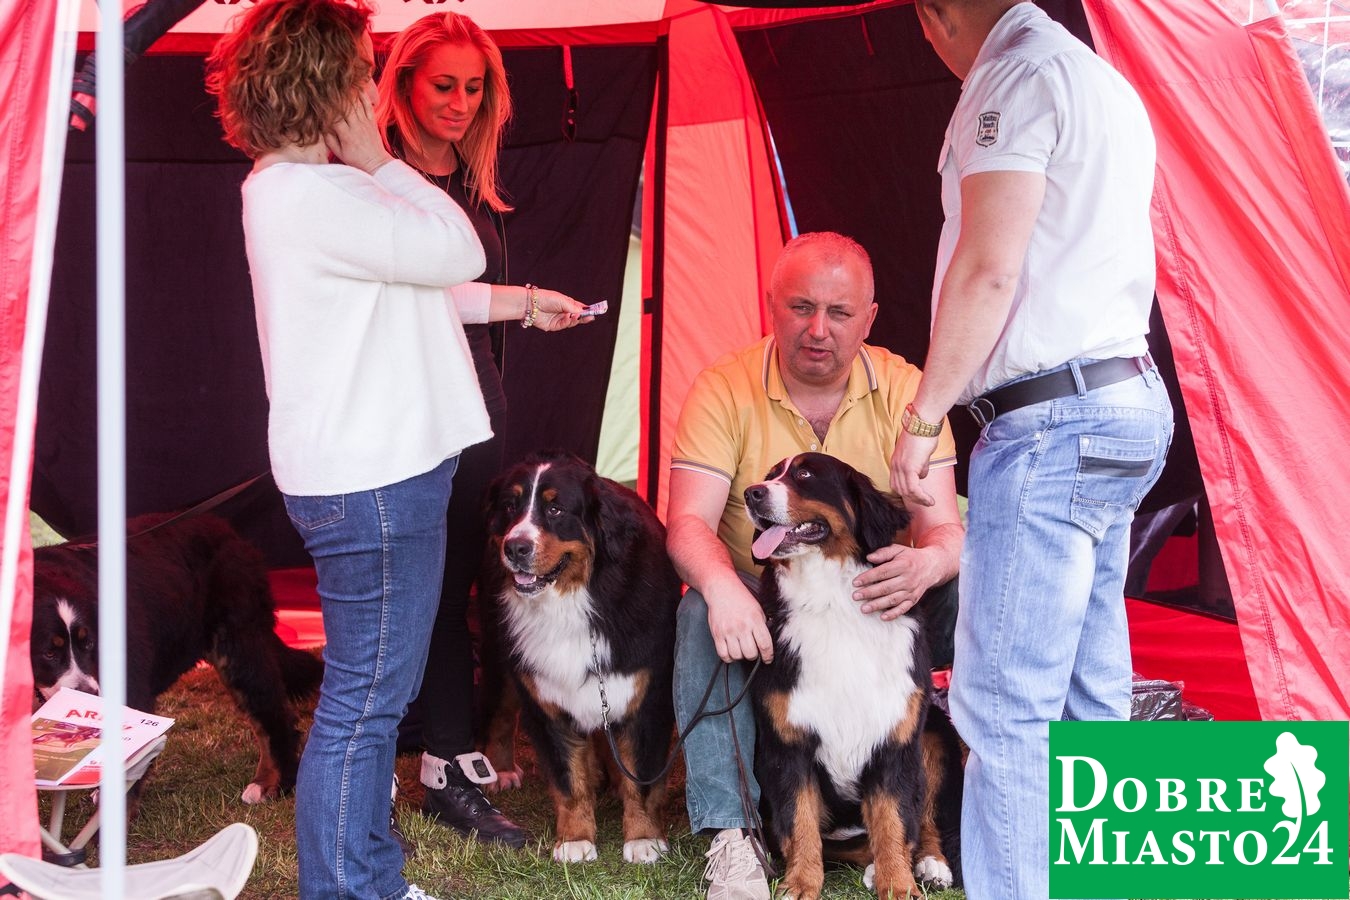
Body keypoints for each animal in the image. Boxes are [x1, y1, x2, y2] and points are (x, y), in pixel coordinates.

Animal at [31, 512, 323, 804]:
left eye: (88, 644)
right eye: (49, 653)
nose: (88, 694)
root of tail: (223, 528)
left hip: (238, 648)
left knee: (271, 714)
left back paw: (271, 783)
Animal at [479, 450, 680, 864]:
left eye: (556, 509)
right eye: (510, 507)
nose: (515, 547)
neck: (575, 600)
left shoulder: (646, 695)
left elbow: (642, 776)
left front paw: (643, 838)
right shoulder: (545, 700)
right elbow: (568, 780)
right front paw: (574, 840)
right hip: (499, 648)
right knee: (501, 712)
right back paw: (502, 769)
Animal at [744, 452, 962, 900]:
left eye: (804, 474)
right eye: (771, 474)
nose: (751, 493)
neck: (832, 604)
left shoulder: (895, 739)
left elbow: (894, 821)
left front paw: (898, 885)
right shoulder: (788, 744)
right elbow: (800, 823)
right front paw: (800, 884)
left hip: (933, 734)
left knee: (923, 821)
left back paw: (930, 864)